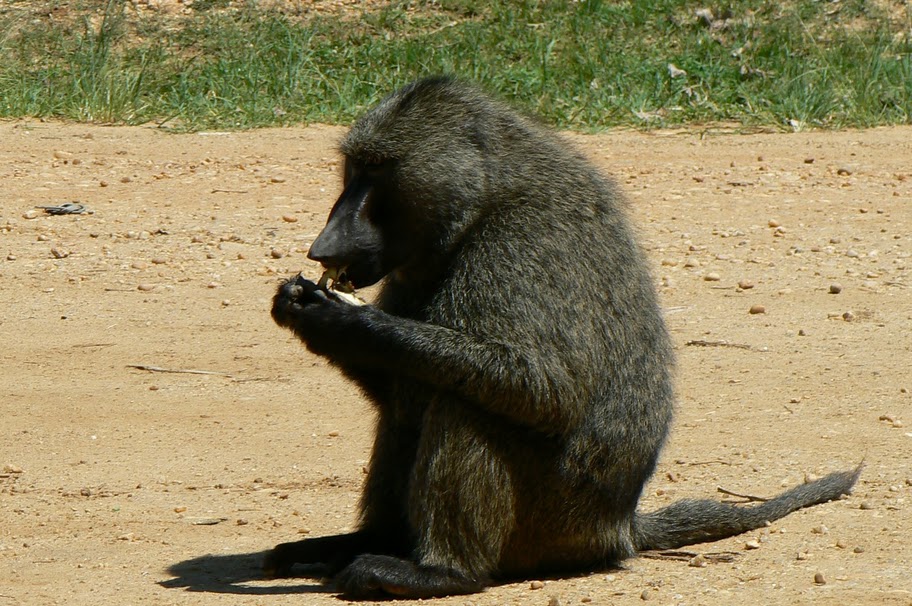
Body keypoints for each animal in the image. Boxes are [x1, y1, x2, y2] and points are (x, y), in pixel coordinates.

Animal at [266, 76, 860, 599]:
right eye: (353, 168)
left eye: (377, 172)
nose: (323, 247)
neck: (486, 197)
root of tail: (618, 526)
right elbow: (400, 390)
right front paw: (300, 308)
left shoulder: (522, 245)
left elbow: (548, 393)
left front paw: (344, 321)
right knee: (412, 406)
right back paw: (363, 544)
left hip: (554, 519)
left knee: (465, 403)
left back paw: (440, 572)